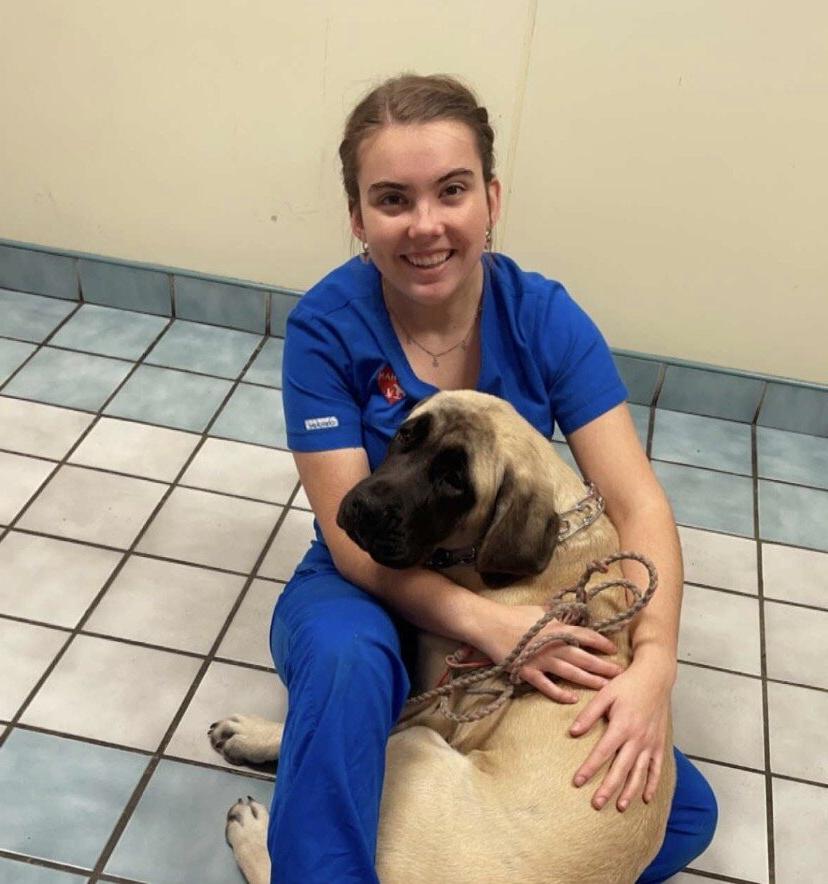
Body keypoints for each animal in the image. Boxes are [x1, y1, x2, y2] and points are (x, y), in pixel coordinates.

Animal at [210, 392, 676, 884]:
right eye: (405, 435)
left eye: (455, 481)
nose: (365, 508)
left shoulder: (436, 703)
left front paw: (257, 734)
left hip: (415, 750)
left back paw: (252, 832)